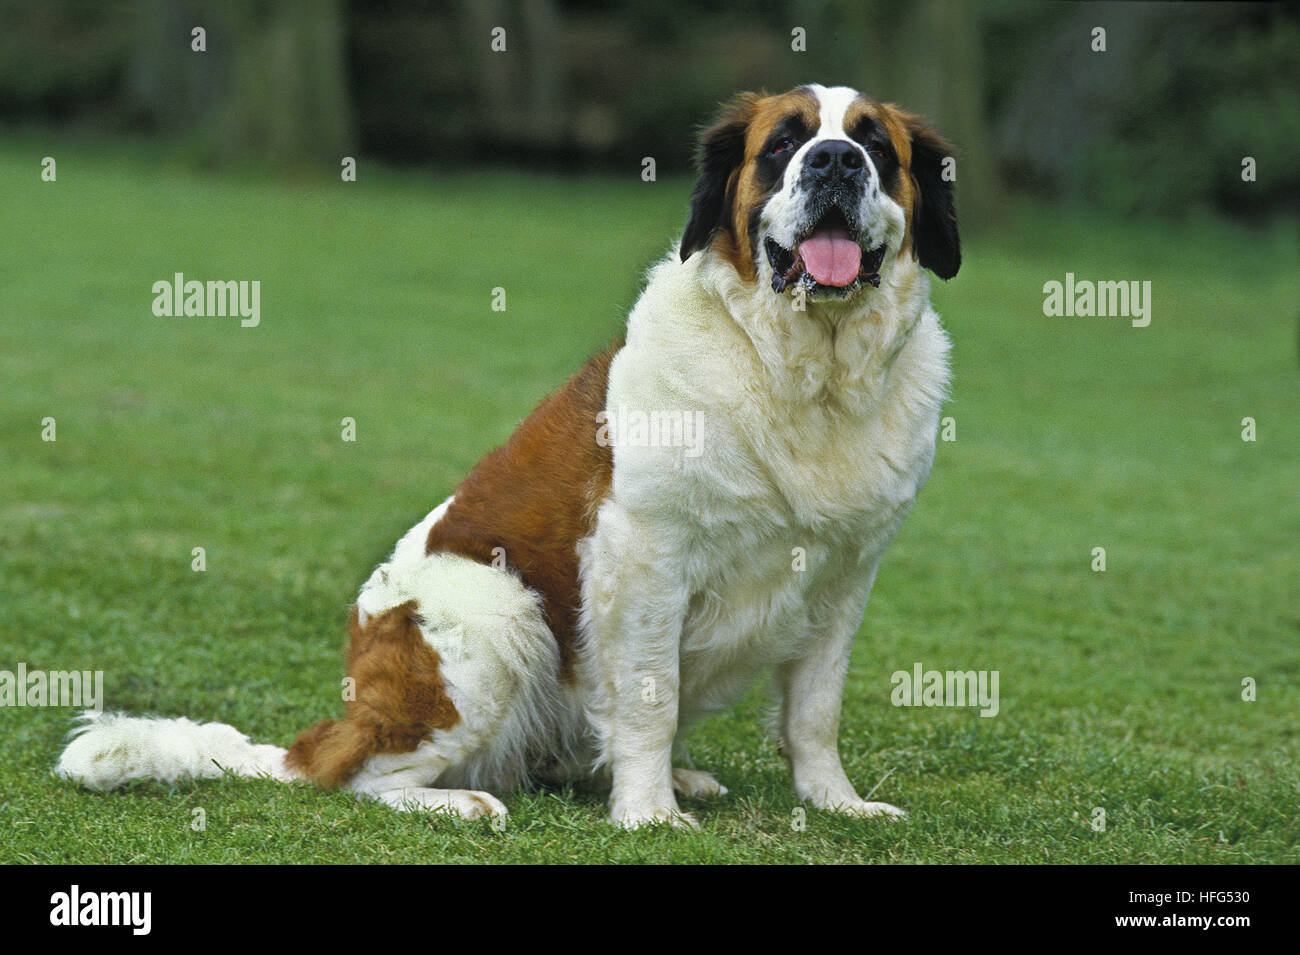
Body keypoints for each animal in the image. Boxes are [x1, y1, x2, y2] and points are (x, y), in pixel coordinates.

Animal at [58, 82, 956, 831]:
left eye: (874, 146)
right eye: (785, 144)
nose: (835, 160)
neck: (803, 372)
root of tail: (339, 725)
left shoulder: (845, 574)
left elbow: (815, 709)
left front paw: (835, 802)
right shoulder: (643, 556)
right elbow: (649, 699)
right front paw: (648, 815)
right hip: (499, 612)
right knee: (361, 777)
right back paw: (464, 801)